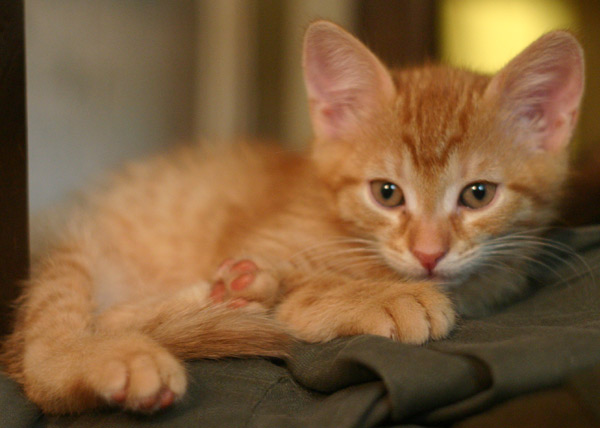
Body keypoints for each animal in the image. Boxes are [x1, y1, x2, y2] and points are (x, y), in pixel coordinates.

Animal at [1, 20, 584, 414]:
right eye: (387, 194)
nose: (428, 253)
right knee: (42, 358)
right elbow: (305, 293)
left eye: (478, 195)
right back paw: (132, 355)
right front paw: (387, 297)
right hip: (75, 246)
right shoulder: (269, 241)